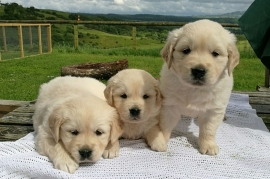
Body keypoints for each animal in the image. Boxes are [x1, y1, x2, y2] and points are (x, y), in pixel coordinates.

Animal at [159, 19, 239, 155]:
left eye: (215, 53)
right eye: (186, 50)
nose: (198, 71)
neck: (194, 89)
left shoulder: (213, 110)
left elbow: (208, 129)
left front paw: (208, 145)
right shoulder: (169, 105)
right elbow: (164, 125)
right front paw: (159, 140)